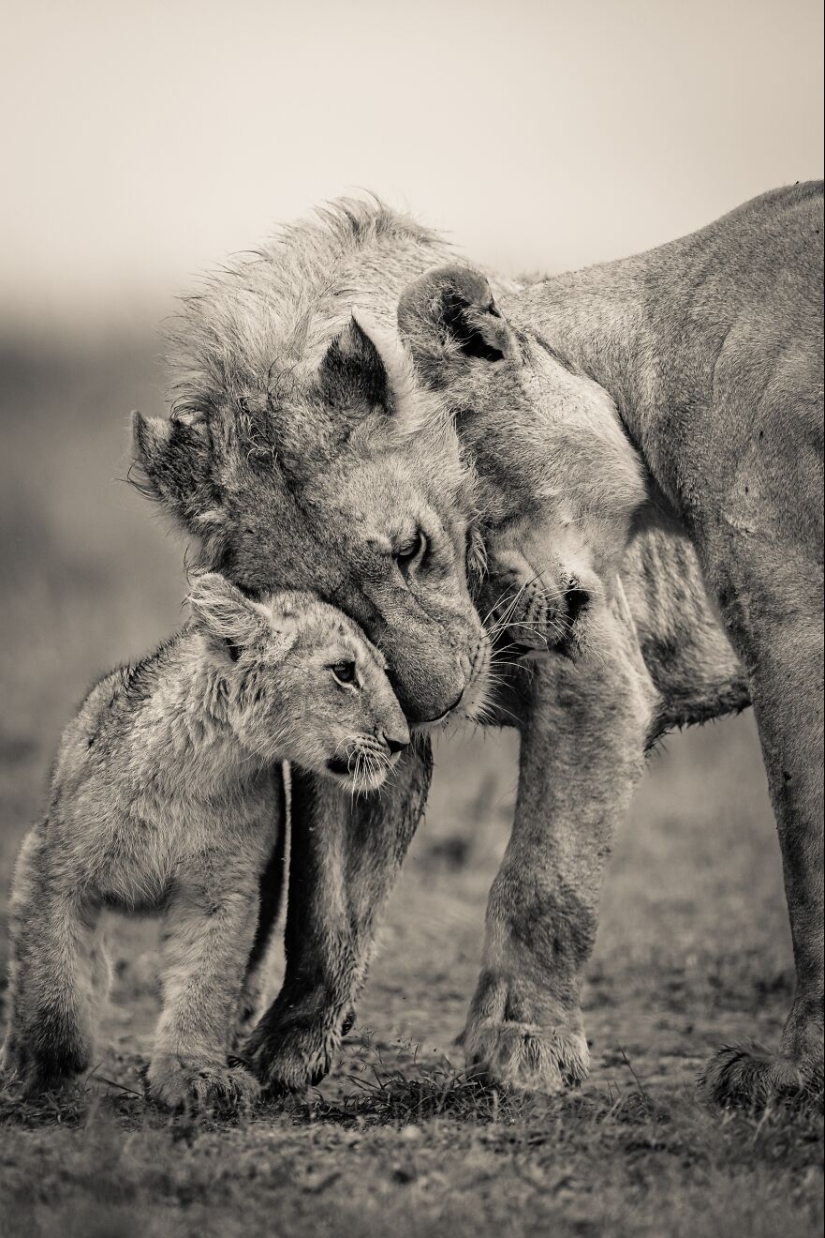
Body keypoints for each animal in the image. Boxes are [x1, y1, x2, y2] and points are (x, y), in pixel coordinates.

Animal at [2, 571, 408, 1114]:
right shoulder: (51, 866)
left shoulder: (223, 891)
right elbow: (53, 981)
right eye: (344, 671)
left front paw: (193, 1074)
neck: (205, 766)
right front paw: (42, 1072)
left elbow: (206, 984)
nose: (401, 741)